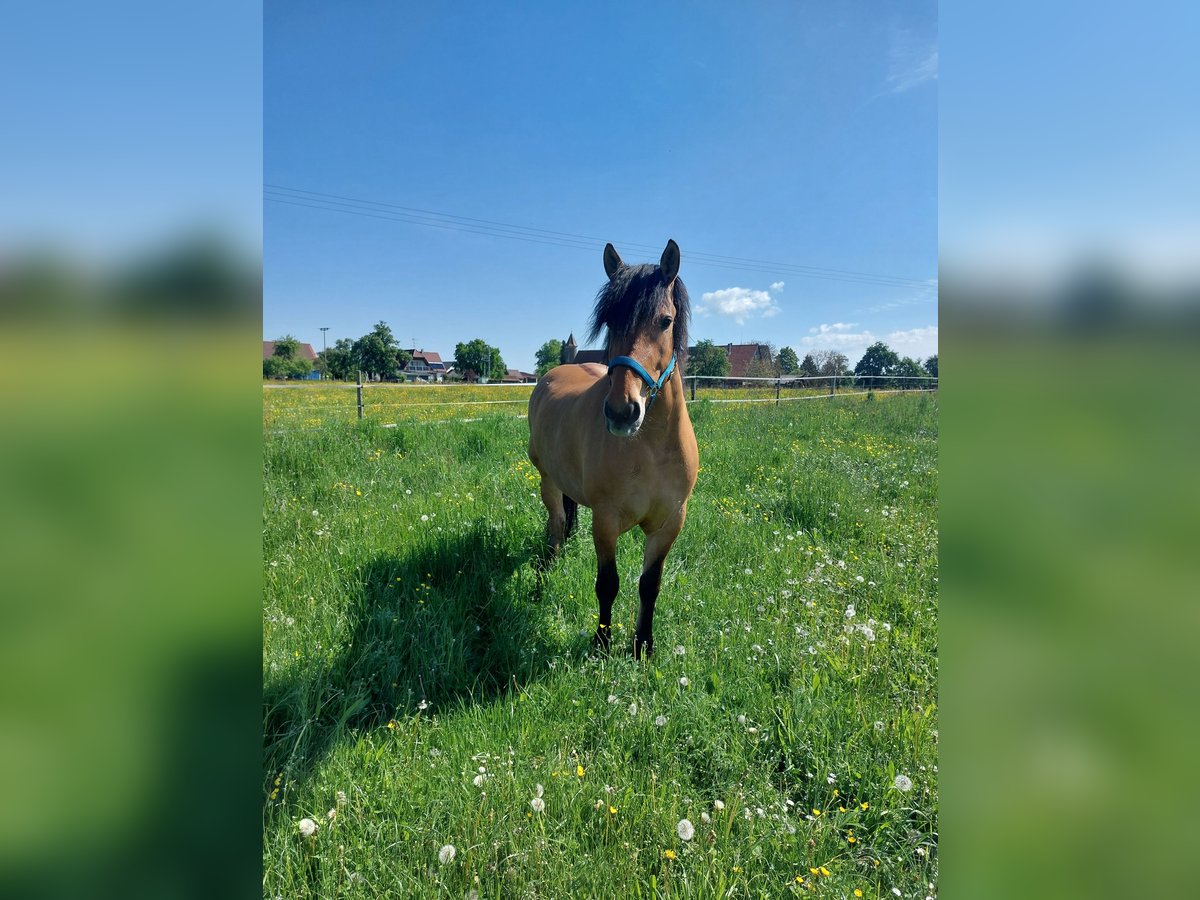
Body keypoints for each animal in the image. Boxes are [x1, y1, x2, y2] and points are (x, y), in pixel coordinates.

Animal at [530, 241, 700, 662]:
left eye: (665, 321)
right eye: (610, 322)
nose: (623, 412)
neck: (651, 450)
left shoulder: (670, 523)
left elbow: (649, 585)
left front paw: (643, 645)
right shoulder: (605, 522)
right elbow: (608, 583)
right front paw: (602, 644)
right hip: (547, 480)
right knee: (556, 522)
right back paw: (550, 568)